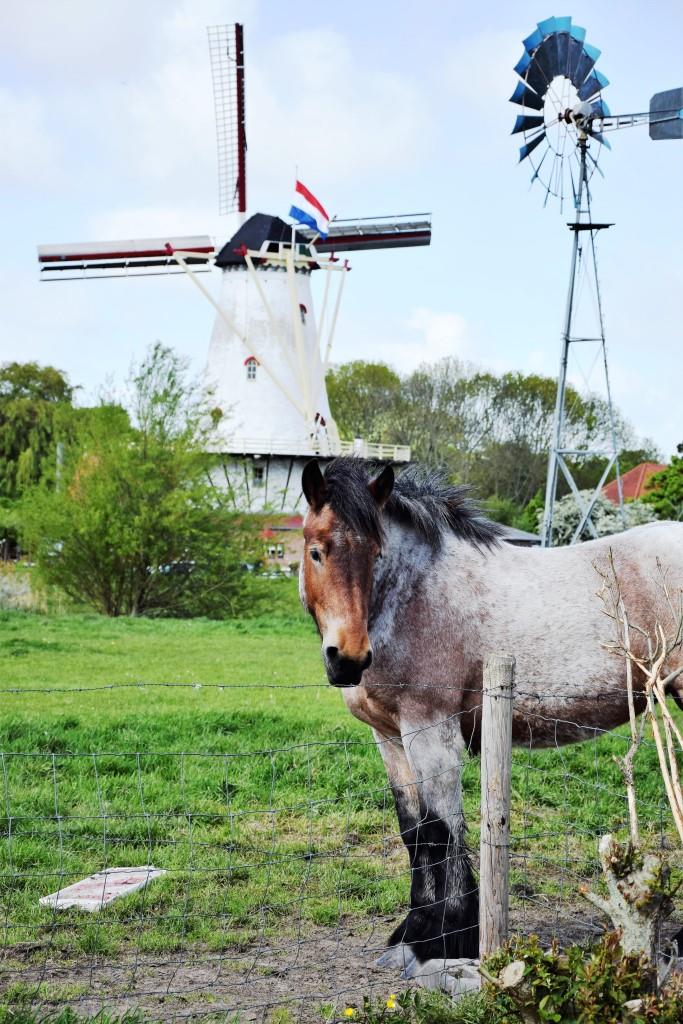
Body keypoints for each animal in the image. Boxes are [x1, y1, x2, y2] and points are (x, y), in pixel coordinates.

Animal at [298, 456, 683, 986]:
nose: (348, 659)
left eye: (376, 552)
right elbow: (413, 832)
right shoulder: (389, 738)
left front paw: (440, 940)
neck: (414, 593)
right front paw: (412, 935)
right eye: (317, 551)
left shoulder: (431, 731)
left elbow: (441, 829)